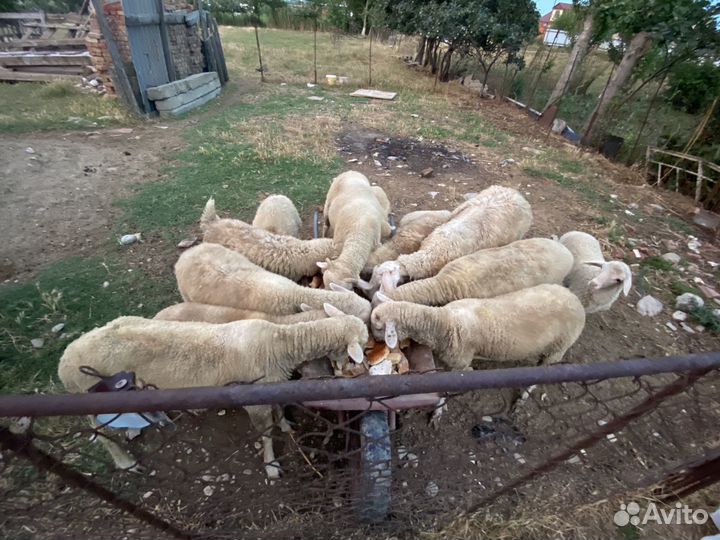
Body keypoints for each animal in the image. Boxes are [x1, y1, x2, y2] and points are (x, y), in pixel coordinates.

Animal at [58, 306, 368, 479]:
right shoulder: (254, 401)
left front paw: (286, 425)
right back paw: (126, 463)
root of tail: (64, 360)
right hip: (95, 400)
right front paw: (271, 466)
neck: (278, 343)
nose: (362, 365)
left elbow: (279, 411)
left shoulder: (270, 386)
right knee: (102, 435)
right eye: (362, 342)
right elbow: (265, 435)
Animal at [371, 284, 585, 371]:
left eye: (379, 327)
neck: (444, 321)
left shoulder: (461, 364)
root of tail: (576, 300)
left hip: (558, 348)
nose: (373, 341)